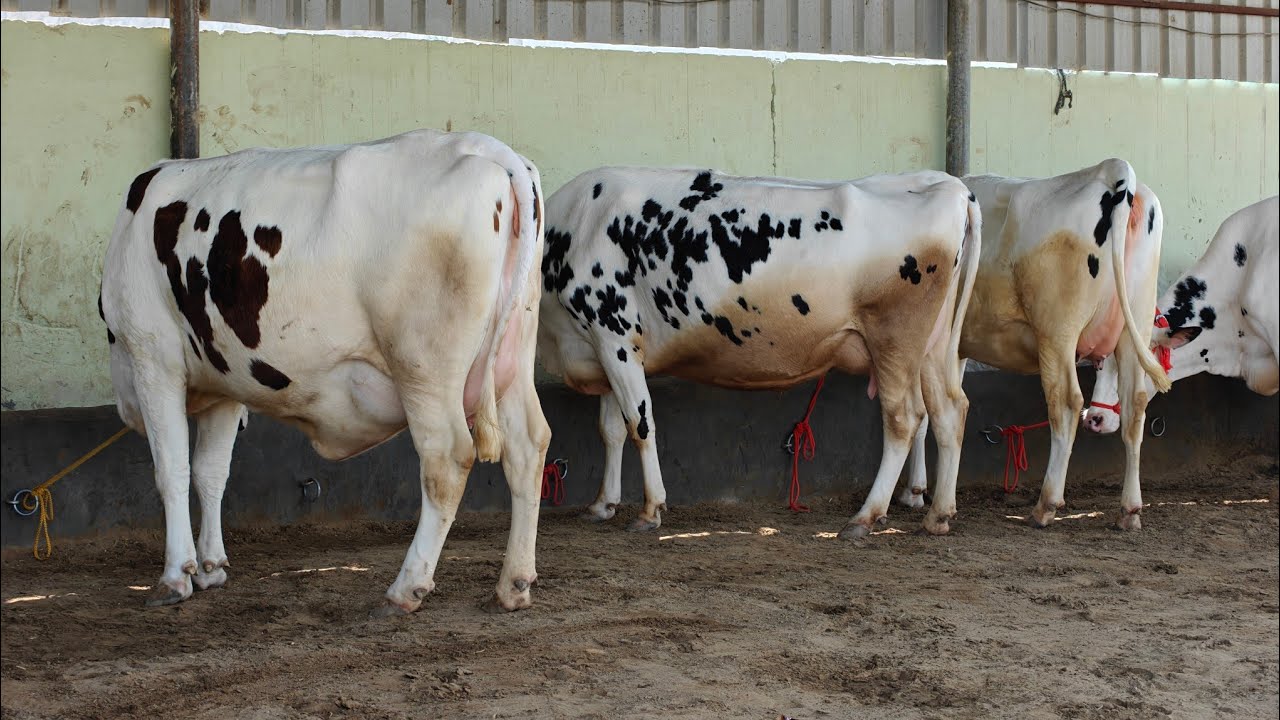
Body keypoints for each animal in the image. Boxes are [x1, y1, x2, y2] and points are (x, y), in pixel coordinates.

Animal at [99, 130, 551, 616]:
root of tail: (484, 146)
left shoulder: (152, 356)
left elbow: (172, 470)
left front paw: (175, 576)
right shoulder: (225, 382)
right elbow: (210, 472)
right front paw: (210, 568)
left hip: (424, 366)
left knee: (446, 460)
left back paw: (406, 588)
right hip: (512, 360)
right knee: (528, 447)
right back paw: (514, 584)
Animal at [537, 166, 981, 536]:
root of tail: (947, 184)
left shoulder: (617, 337)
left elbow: (640, 425)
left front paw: (649, 510)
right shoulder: (598, 348)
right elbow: (611, 430)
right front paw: (602, 504)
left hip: (895, 339)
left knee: (904, 419)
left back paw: (866, 516)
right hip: (933, 347)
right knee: (949, 411)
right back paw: (938, 514)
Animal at [899, 159, 1173, 532]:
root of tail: (1110, 171)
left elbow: (927, 411)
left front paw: (915, 492)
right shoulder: (954, 347)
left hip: (1057, 334)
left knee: (1067, 404)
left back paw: (1046, 505)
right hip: (1135, 329)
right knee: (1135, 408)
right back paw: (1129, 511)